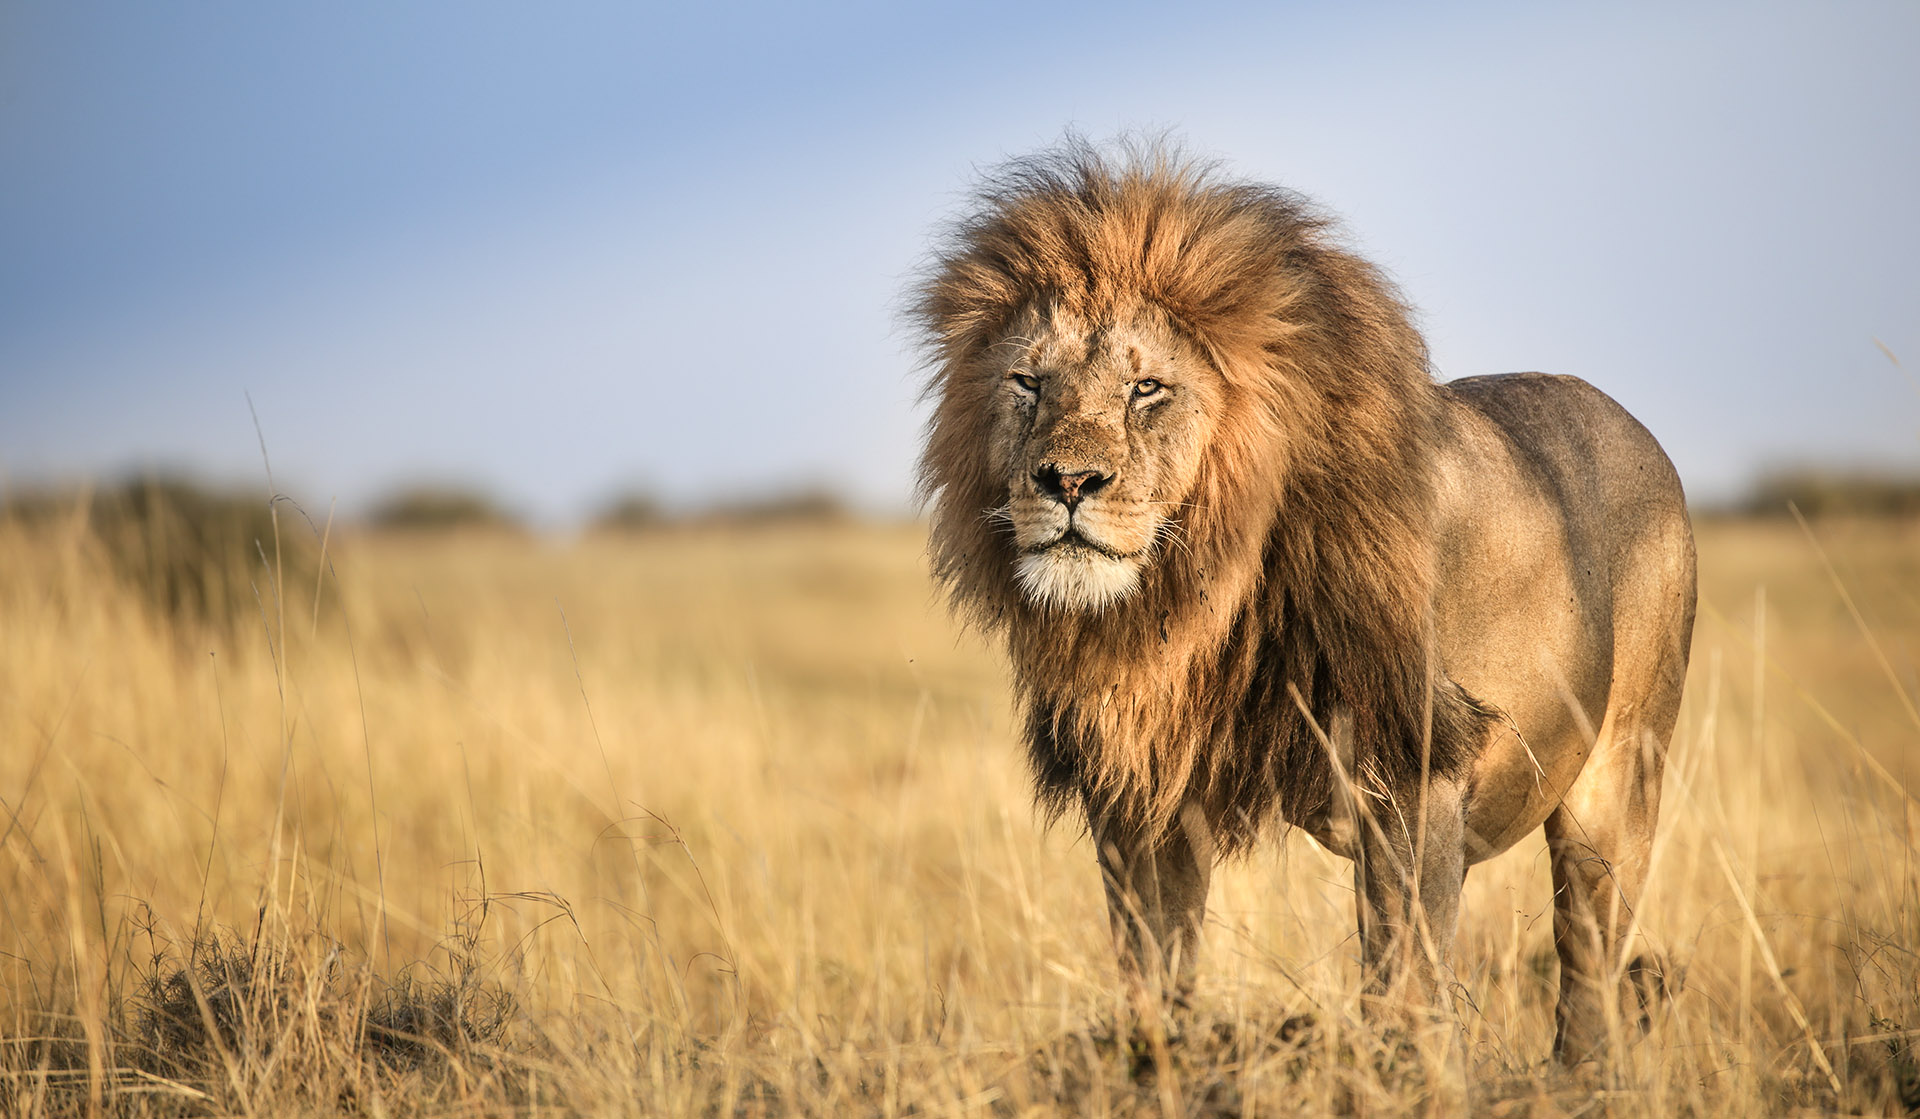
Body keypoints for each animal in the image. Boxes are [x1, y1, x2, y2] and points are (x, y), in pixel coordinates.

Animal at [912, 140, 1696, 1062]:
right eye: (1028, 383)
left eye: (1147, 389)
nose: (1067, 481)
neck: (1204, 592)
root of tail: (1640, 432)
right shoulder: (1144, 793)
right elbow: (1154, 965)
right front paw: (1153, 1062)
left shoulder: (1416, 772)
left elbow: (1407, 982)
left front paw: (1404, 1072)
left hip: (1619, 782)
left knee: (1588, 972)